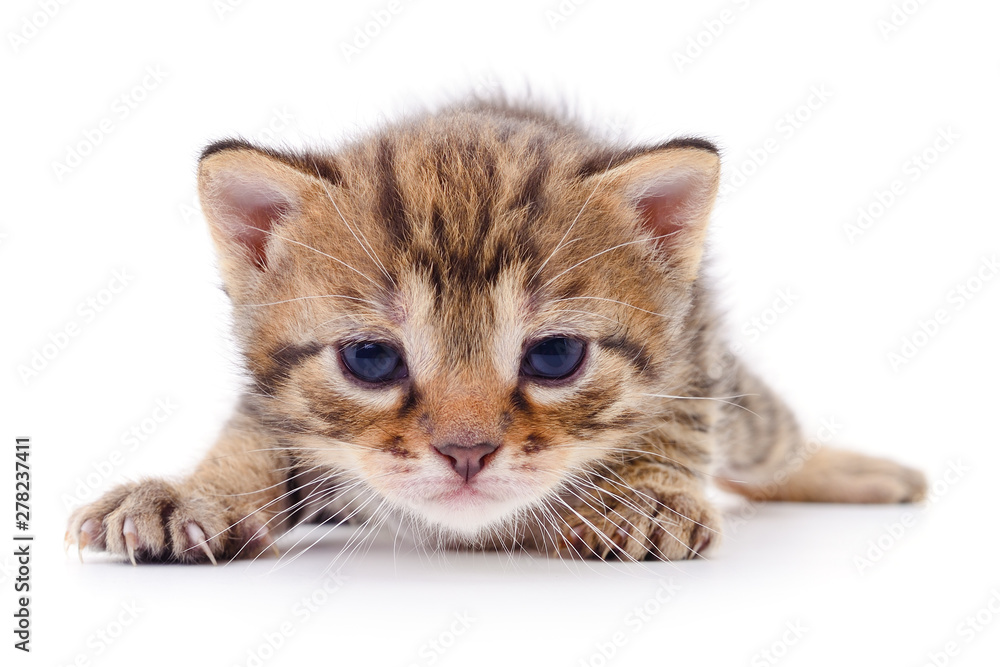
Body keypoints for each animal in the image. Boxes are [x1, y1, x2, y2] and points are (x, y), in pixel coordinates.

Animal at [66, 102, 924, 568]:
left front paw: (644, 495)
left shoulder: (692, 353)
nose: (467, 452)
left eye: (555, 356)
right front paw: (187, 494)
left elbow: (675, 417)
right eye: (370, 359)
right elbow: (247, 442)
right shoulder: (273, 404)